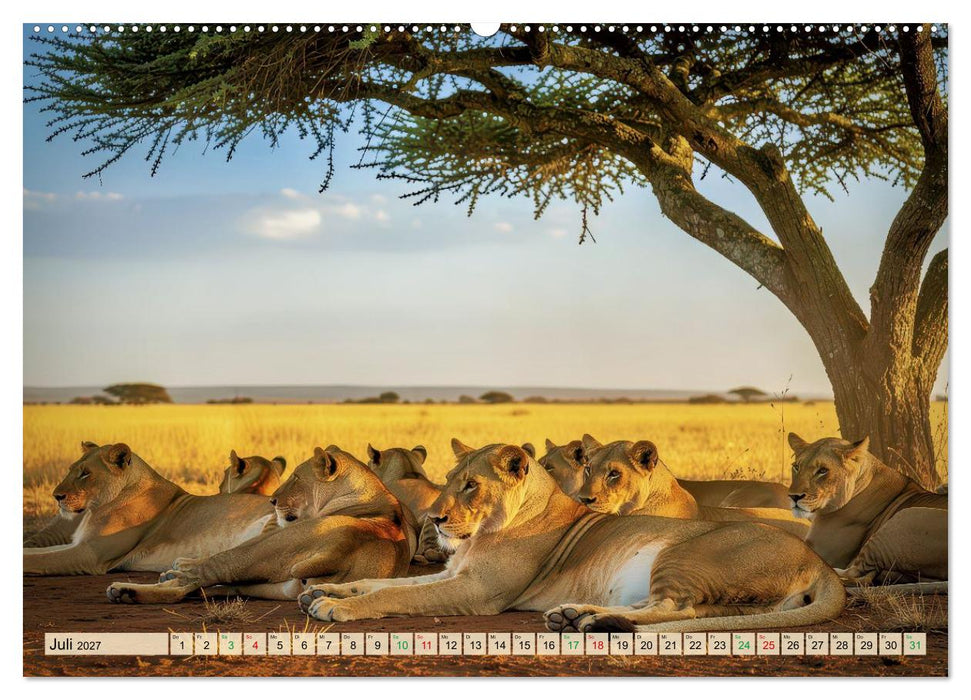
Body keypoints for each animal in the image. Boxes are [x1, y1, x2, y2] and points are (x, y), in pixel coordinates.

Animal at [24, 442, 275, 575]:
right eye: (70, 469)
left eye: (85, 473)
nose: (56, 496)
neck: (96, 509)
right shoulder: (78, 543)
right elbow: (37, 552)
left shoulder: (91, 554)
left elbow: (40, 561)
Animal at [105, 446, 414, 604]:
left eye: (296, 478)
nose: (273, 501)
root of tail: (344, 546)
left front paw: (181, 564)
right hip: (271, 585)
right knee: (195, 588)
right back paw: (128, 592)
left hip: (256, 554)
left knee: (202, 576)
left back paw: (136, 584)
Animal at [788, 433, 947, 586]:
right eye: (796, 467)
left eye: (822, 470)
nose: (793, 496)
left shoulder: (822, 550)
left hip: (906, 516)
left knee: (854, 572)